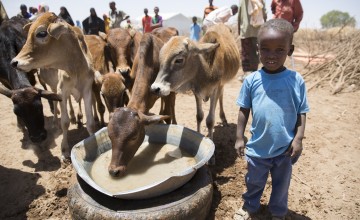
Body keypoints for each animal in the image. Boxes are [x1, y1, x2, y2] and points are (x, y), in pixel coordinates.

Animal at [11, 12, 97, 162]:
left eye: (41, 33)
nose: (14, 62)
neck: (75, 67)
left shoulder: (86, 89)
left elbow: (90, 122)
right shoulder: (62, 90)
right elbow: (65, 122)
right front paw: (64, 150)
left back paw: (77, 117)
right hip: (53, 87)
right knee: (56, 104)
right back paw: (55, 122)